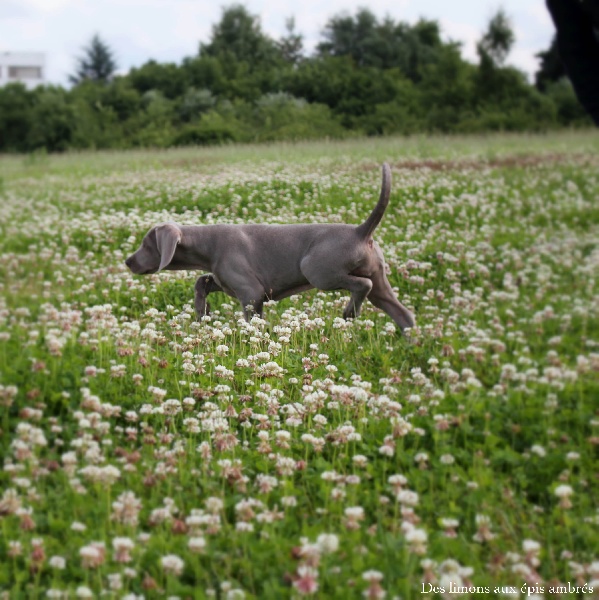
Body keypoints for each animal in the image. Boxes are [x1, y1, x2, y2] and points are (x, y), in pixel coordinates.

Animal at [125, 164, 418, 330]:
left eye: (146, 244)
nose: (127, 261)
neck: (209, 245)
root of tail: (361, 231)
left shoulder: (251, 293)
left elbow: (253, 322)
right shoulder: (229, 282)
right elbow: (201, 281)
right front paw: (202, 312)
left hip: (319, 271)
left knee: (361, 286)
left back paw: (349, 314)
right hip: (378, 279)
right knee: (404, 314)